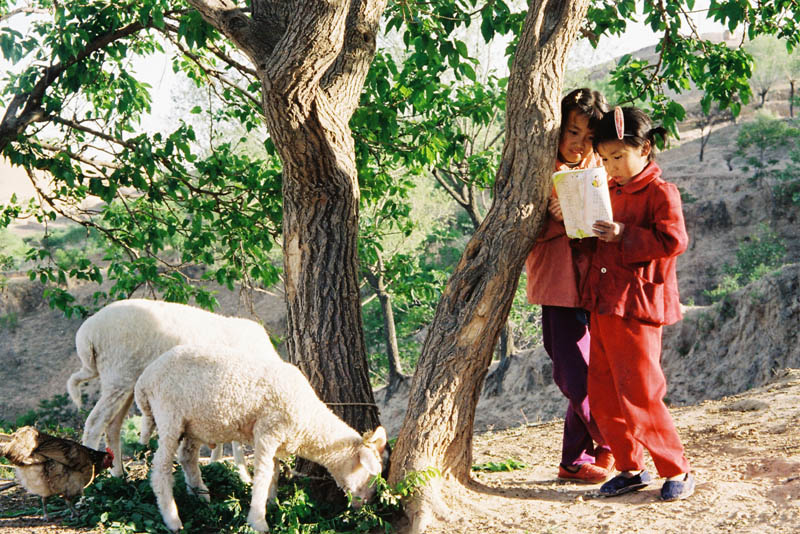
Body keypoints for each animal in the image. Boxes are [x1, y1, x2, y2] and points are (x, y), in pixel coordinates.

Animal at [63, 300, 276, 480]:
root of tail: (87, 335)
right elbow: (235, 441)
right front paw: (243, 475)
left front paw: (216, 463)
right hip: (118, 375)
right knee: (95, 424)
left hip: (124, 382)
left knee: (112, 427)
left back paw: (119, 476)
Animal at [134, 346, 388, 532]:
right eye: (370, 474)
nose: (368, 503)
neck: (308, 421)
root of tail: (144, 380)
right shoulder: (267, 432)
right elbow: (263, 476)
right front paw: (258, 520)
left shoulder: (277, 439)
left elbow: (274, 473)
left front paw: (273, 503)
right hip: (169, 416)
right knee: (161, 468)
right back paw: (172, 519)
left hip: (193, 425)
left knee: (187, 457)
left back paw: (200, 496)